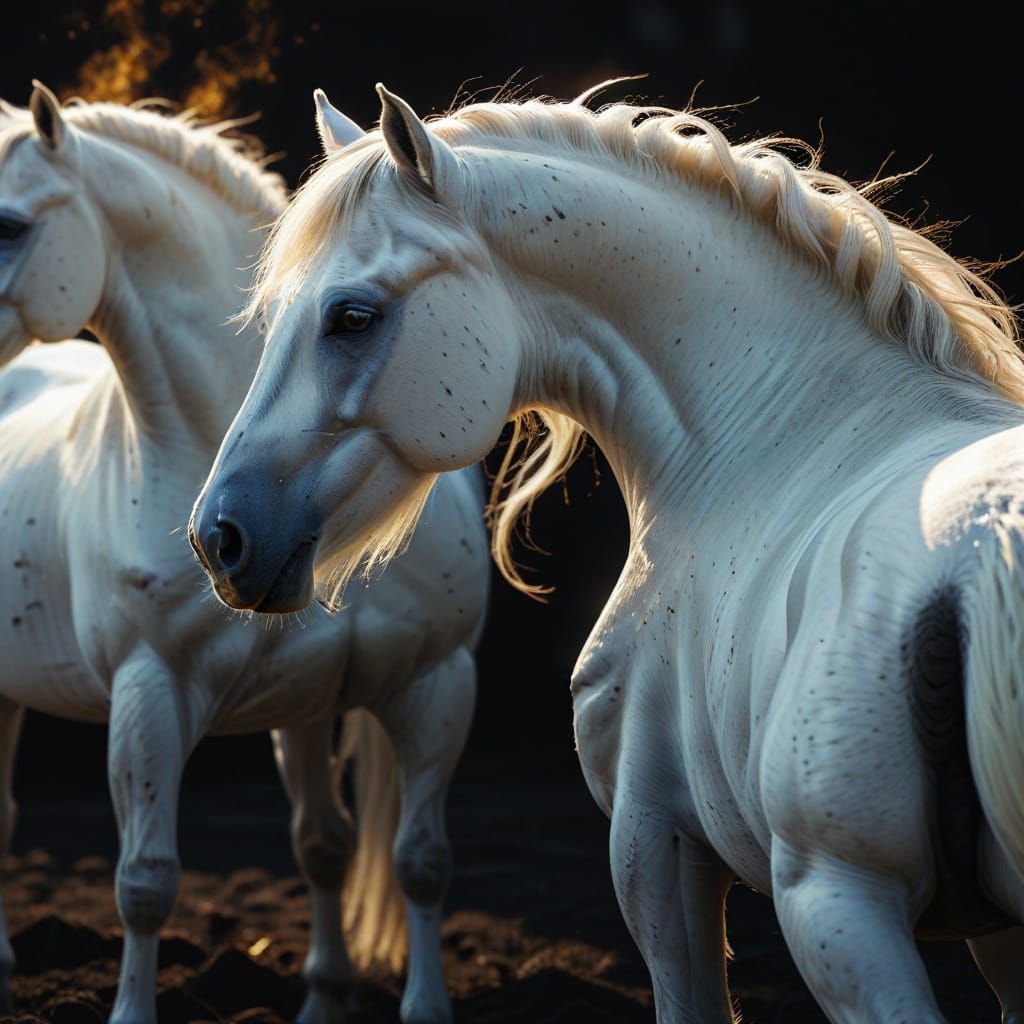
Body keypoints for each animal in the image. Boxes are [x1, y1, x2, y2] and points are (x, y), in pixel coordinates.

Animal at [0, 84, 488, 1024]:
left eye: (7, 225)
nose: (221, 543)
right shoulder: (150, 694)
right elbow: (145, 884)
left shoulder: (425, 685)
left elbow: (390, 857)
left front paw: (345, 997)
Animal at [191, 80, 1024, 1022]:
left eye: (352, 317)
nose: (218, 536)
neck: (778, 441)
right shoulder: (998, 938)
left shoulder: (653, 840)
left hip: (838, 908)